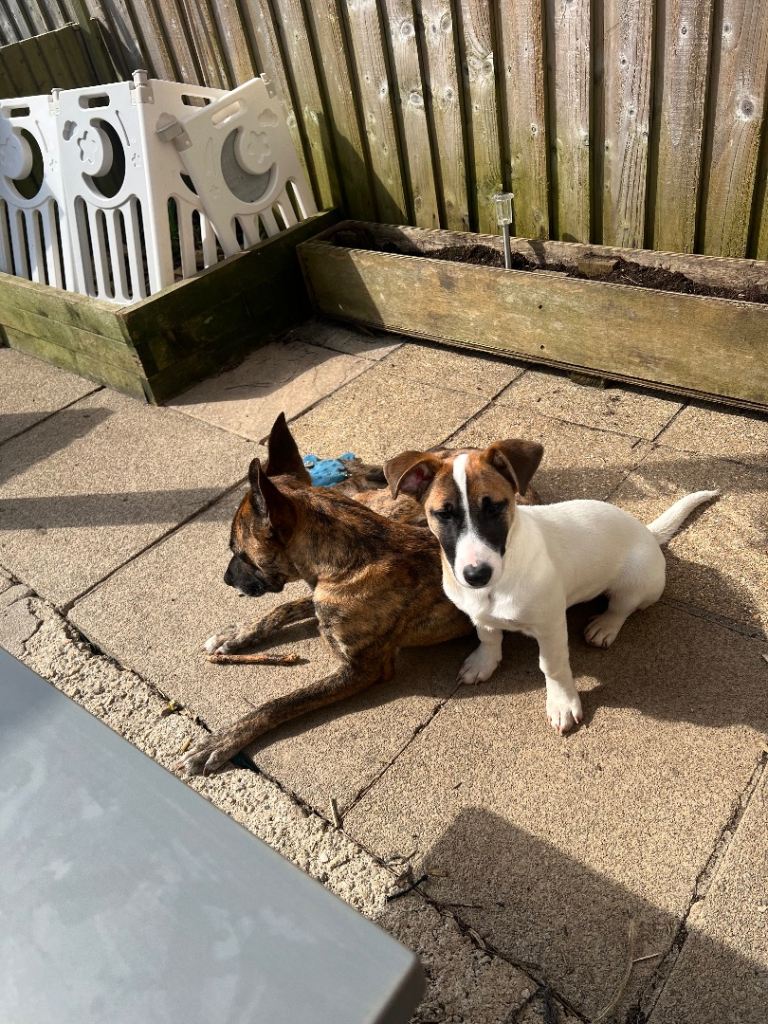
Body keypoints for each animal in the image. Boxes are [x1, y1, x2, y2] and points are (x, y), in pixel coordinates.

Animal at [177, 416, 541, 775]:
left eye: (238, 553)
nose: (226, 579)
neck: (354, 551)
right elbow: (285, 608)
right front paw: (237, 634)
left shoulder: (360, 669)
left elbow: (281, 703)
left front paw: (224, 739)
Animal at [385, 444, 718, 734]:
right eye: (443, 514)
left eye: (495, 508)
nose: (476, 575)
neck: (501, 578)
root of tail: (647, 533)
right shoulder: (478, 614)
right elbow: (488, 636)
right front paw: (484, 662)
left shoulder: (550, 626)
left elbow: (552, 666)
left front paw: (562, 704)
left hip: (637, 580)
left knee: (622, 607)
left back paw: (605, 626)